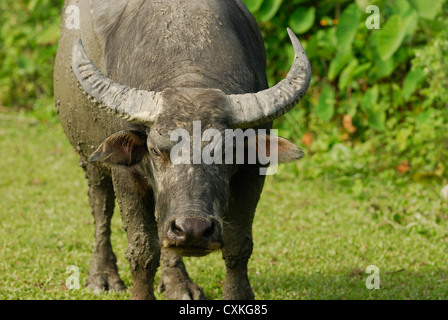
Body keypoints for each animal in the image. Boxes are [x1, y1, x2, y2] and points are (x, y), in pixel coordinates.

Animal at [54, 0, 310, 300]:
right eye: (155, 150)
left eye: (228, 151)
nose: (193, 230)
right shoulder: (126, 175)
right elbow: (142, 248)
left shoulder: (252, 173)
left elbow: (238, 244)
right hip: (89, 157)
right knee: (100, 209)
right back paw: (103, 276)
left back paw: (178, 284)